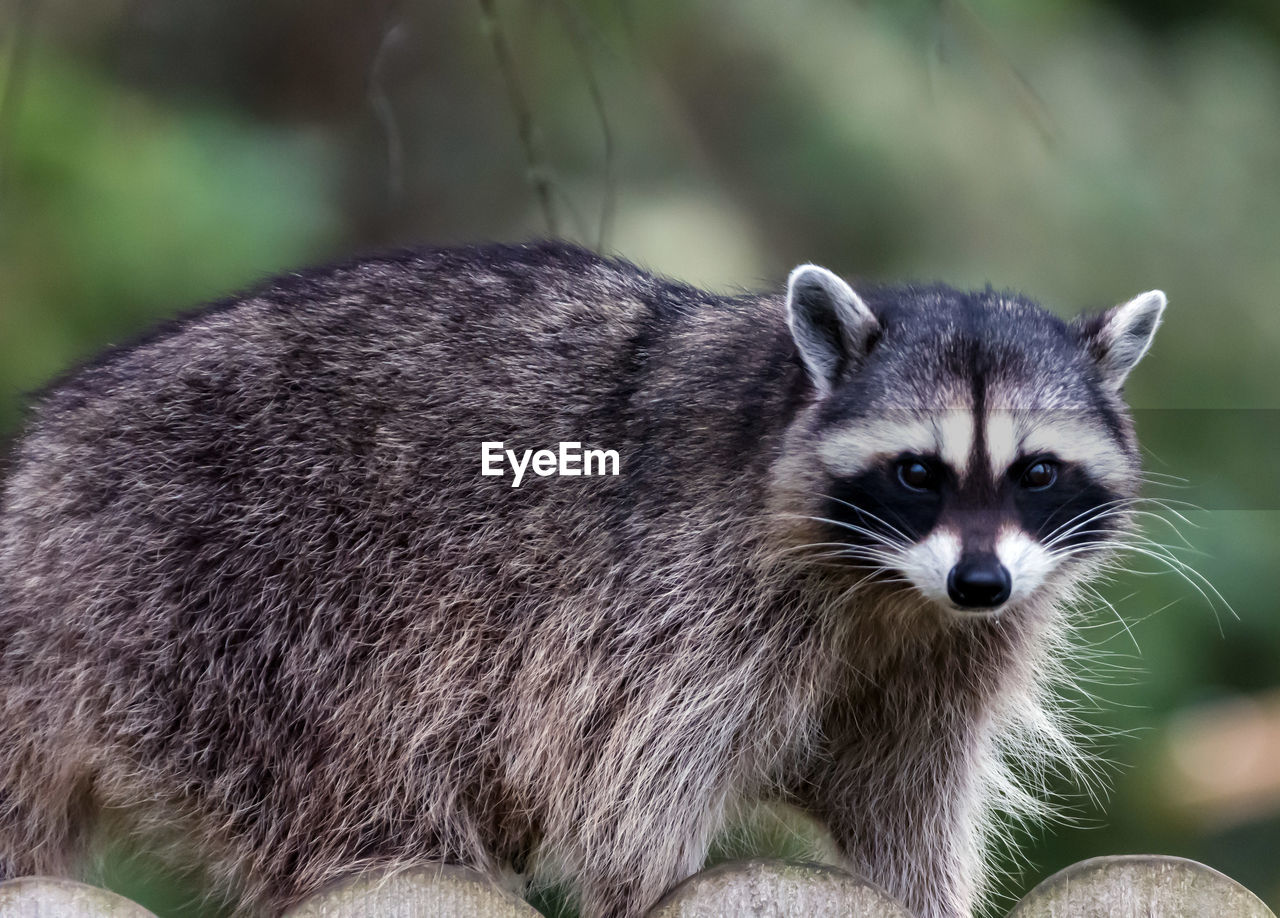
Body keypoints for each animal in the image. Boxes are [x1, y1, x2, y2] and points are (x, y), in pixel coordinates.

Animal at [0, 241, 1162, 916]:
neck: (894, 587)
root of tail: (39, 485)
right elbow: (630, 794)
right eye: (919, 471)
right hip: (234, 613)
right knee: (372, 792)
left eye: (1036, 471)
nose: (979, 582)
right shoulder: (677, 598)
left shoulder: (952, 648)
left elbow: (901, 793)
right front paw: (646, 884)